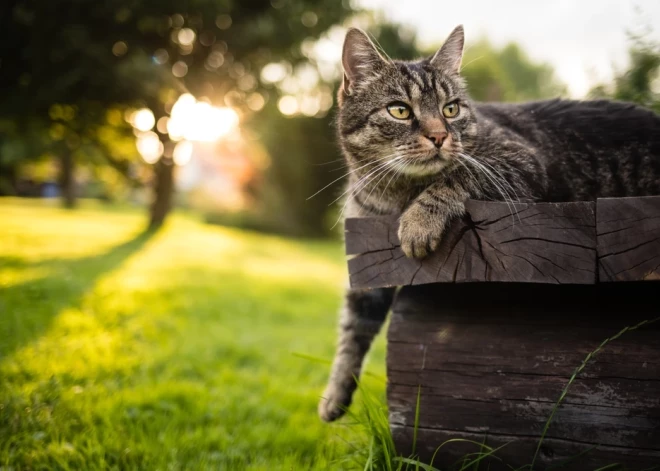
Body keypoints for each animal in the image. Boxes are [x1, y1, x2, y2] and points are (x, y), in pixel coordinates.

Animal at [318, 24, 660, 422]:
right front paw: (334, 395)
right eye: (399, 110)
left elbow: (458, 174)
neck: (393, 196)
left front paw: (419, 221)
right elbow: (352, 330)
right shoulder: (366, 257)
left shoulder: (520, 161)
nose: (439, 136)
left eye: (451, 109)